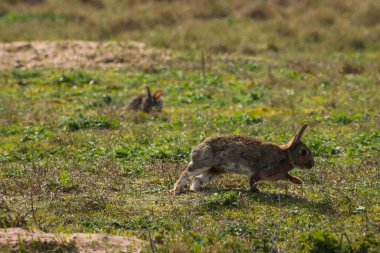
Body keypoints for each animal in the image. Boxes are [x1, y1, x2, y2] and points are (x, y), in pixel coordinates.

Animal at [173, 123, 314, 195]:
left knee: (198, 178)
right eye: (303, 152)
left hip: (214, 171)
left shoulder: (279, 174)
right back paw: (177, 190)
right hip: (204, 163)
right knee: (187, 173)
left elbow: (288, 177)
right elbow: (253, 181)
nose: (312, 164)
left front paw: (299, 182)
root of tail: (197, 148)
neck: (286, 156)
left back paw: (194, 189)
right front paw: (256, 191)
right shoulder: (261, 172)